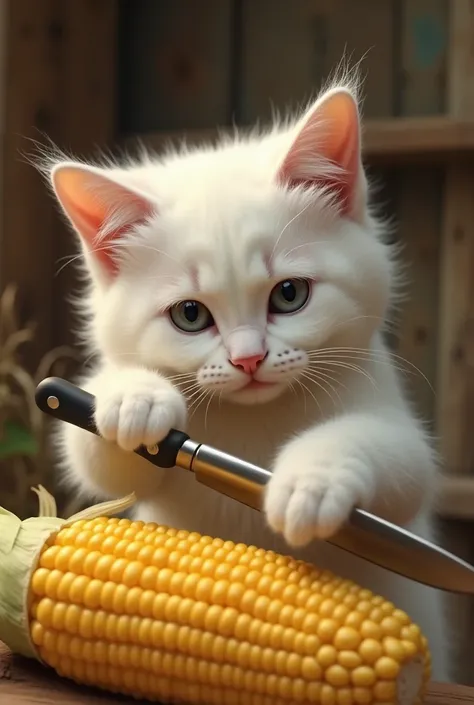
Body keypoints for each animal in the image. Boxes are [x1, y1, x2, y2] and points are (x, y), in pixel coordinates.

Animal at [44, 73, 452, 680]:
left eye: (290, 294)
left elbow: (395, 463)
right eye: (190, 315)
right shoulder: (135, 466)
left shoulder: (397, 440)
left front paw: (311, 483)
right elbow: (100, 463)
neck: (252, 422)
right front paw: (134, 399)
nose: (248, 359)